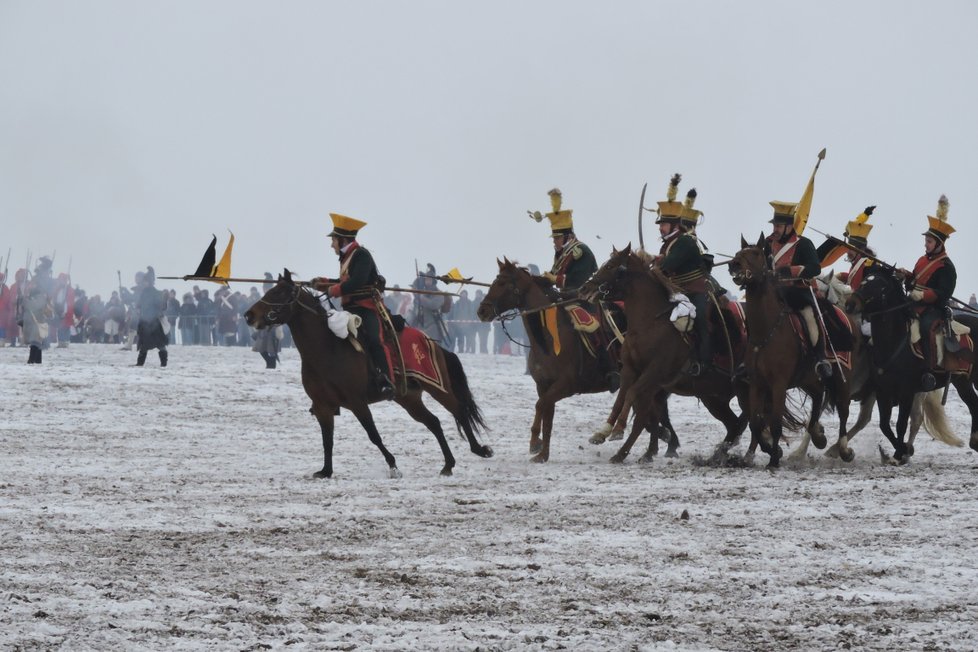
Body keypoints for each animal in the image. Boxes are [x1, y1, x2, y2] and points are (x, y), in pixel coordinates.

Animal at [242, 270, 488, 478]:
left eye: (280, 292)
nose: (248, 315)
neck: (326, 348)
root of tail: (432, 342)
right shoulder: (322, 406)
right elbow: (327, 440)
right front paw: (326, 471)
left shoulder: (357, 401)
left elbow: (373, 434)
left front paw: (393, 465)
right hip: (408, 398)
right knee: (434, 422)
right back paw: (448, 464)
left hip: (437, 387)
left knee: (459, 410)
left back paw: (480, 449)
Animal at [472, 258, 608, 460]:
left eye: (503, 283)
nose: (482, 311)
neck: (547, 339)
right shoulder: (544, 385)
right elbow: (547, 415)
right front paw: (542, 452)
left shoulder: (567, 385)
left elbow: (540, 405)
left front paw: (536, 443)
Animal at [576, 244, 744, 464]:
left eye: (612, 266)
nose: (584, 289)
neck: (649, 324)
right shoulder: (631, 370)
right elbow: (622, 399)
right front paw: (604, 432)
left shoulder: (654, 373)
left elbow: (633, 398)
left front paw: (619, 432)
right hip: (714, 397)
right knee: (735, 424)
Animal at [724, 237, 856, 466]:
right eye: (739, 253)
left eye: (756, 253)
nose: (734, 265)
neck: (767, 332)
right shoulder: (756, 384)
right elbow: (756, 423)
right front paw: (772, 451)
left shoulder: (778, 384)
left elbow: (775, 423)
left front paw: (773, 461)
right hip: (810, 380)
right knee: (818, 401)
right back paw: (818, 437)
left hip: (840, 378)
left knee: (843, 409)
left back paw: (844, 449)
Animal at [844, 264, 972, 458]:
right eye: (864, 281)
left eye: (881, 287)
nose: (850, 304)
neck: (894, 342)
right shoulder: (882, 390)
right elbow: (884, 425)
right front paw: (901, 449)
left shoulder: (906, 392)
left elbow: (900, 424)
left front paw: (900, 453)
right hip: (962, 380)